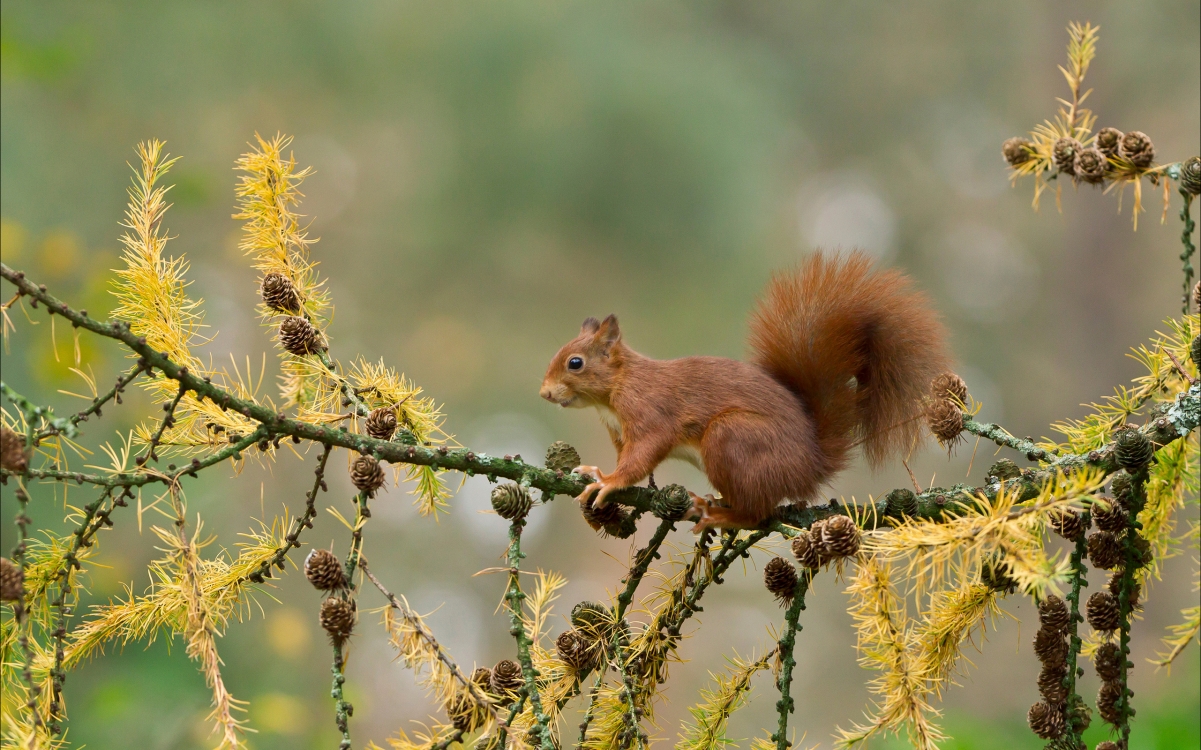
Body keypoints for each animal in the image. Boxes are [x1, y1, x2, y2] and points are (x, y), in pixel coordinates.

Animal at [542, 253, 946, 533]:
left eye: (575, 363)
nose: (544, 393)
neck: (616, 390)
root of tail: (811, 466)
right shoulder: (617, 430)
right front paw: (597, 471)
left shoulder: (651, 412)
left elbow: (642, 456)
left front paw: (609, 482)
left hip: (733, 438)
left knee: (758, 514)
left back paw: (722, 515)